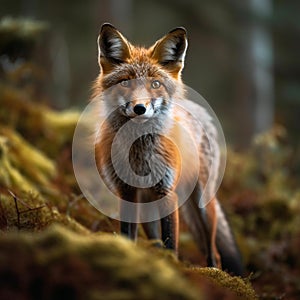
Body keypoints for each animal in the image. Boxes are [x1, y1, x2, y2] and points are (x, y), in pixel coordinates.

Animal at [94, 23, 244, 276]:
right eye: (126, 82)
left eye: (155, 84)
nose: (140, 108)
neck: (139, 154)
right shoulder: (126, 192)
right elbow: (128, 236)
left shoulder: (166, 191)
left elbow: (171, 243)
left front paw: (172, 269)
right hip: (147, 207)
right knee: (156, 242)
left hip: (203, 202)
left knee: (213, 251)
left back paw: (214, 271)